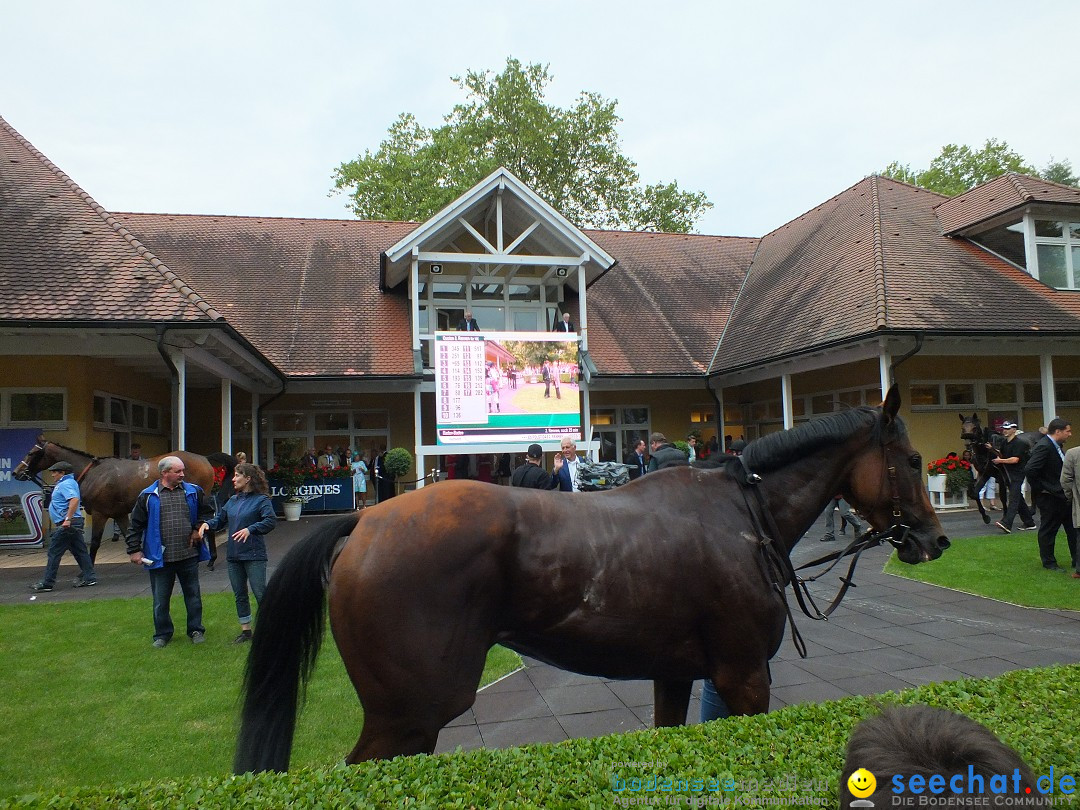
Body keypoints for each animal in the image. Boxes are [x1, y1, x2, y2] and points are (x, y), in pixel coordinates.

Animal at [14, 438, 217, 565]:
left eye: (31, 453)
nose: (17, 472)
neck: (94, 473)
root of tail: (205, 459)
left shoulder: (100, 513)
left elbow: (95, 542)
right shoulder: (119, 514)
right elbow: (129, 537)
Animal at [234, 386, 946, 773]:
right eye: (912, 459)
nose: (933, 540)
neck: (743, 515)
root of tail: (365, 519)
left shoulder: (678, 672)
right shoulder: (745, 675)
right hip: (407, 714)